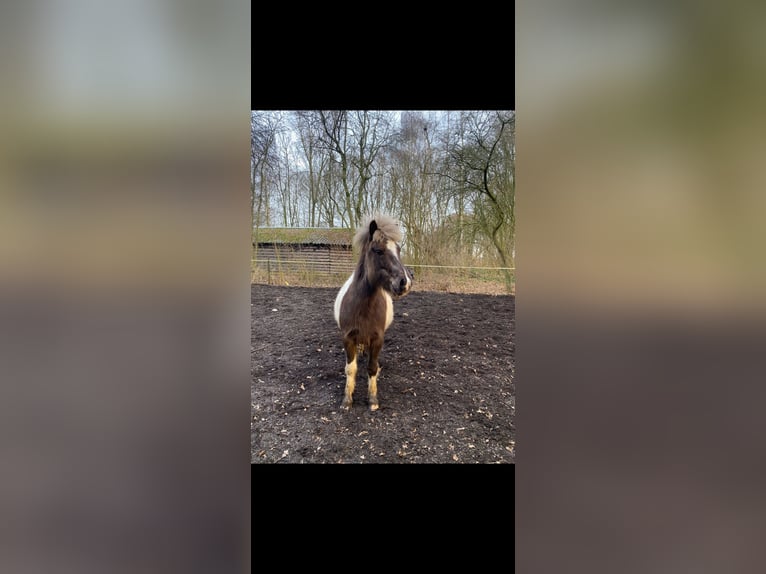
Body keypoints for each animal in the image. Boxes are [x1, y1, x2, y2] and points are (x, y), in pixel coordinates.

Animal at [333, 214, 412, 411]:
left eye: (398, 249)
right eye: (378, 250)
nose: (405, 282)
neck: (364, 307)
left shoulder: (377, 339)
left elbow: (372, 368)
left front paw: (373, 399)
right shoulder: (348, 338)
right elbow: (351, 369)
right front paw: (347, 400)